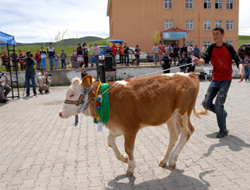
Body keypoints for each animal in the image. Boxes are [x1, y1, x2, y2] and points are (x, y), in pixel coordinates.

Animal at [59, 72, 206, 175]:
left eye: (72, 94)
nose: (60, 113)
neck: (107, 98)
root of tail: (189, 75)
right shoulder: (117, 127)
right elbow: (110, 141)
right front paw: (123, 158)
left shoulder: (130, 128)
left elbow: (128, 148)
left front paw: (130, 167)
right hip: (171, 116)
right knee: (174, 135)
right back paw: (165, 159)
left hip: (183, 112)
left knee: (187, 132)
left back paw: (172, 159)